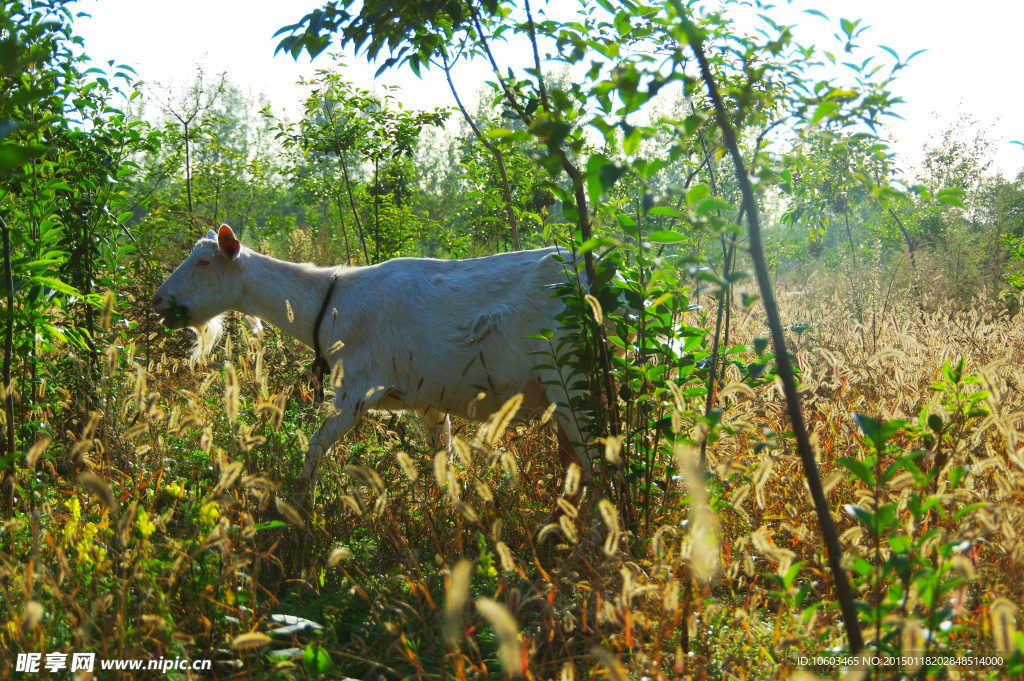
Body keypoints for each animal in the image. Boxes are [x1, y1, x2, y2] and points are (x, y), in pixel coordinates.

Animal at [151, 225, 593, 481]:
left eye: (204, 261)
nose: (157, 300)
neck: (329, 303)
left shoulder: (357, 389)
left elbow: (315, 447)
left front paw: (302, 512)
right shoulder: (427, 400)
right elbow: (443, 458)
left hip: (572, 380)